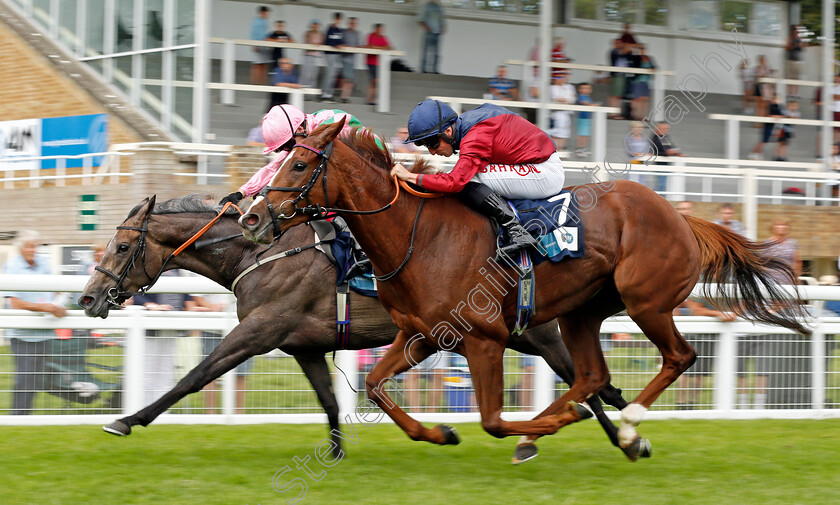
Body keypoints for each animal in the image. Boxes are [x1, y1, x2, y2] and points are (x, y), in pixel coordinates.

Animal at [75, 196, 648, 460]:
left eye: (122, 246)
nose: (87, 299)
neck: (260, 253)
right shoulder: (303, 345)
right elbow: (330, 400)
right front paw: (335, 452)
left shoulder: (260, 331)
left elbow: (194, 377)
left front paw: (127, 419)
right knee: (592, 384)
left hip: (535, 335)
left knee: (587, 382)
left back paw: (600, 438)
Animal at [236, 120, 808, 450]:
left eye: (300, 163)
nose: (251, 218)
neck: (417, 236)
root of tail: (683, 217)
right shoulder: (422, 335)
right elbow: (376, 385)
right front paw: (437, 431)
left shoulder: (483, 339)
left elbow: (491, 419)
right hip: (582, 312)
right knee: (591, 376)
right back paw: (570, 418)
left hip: (647, 301)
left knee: (678, 357)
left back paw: (623, 425)